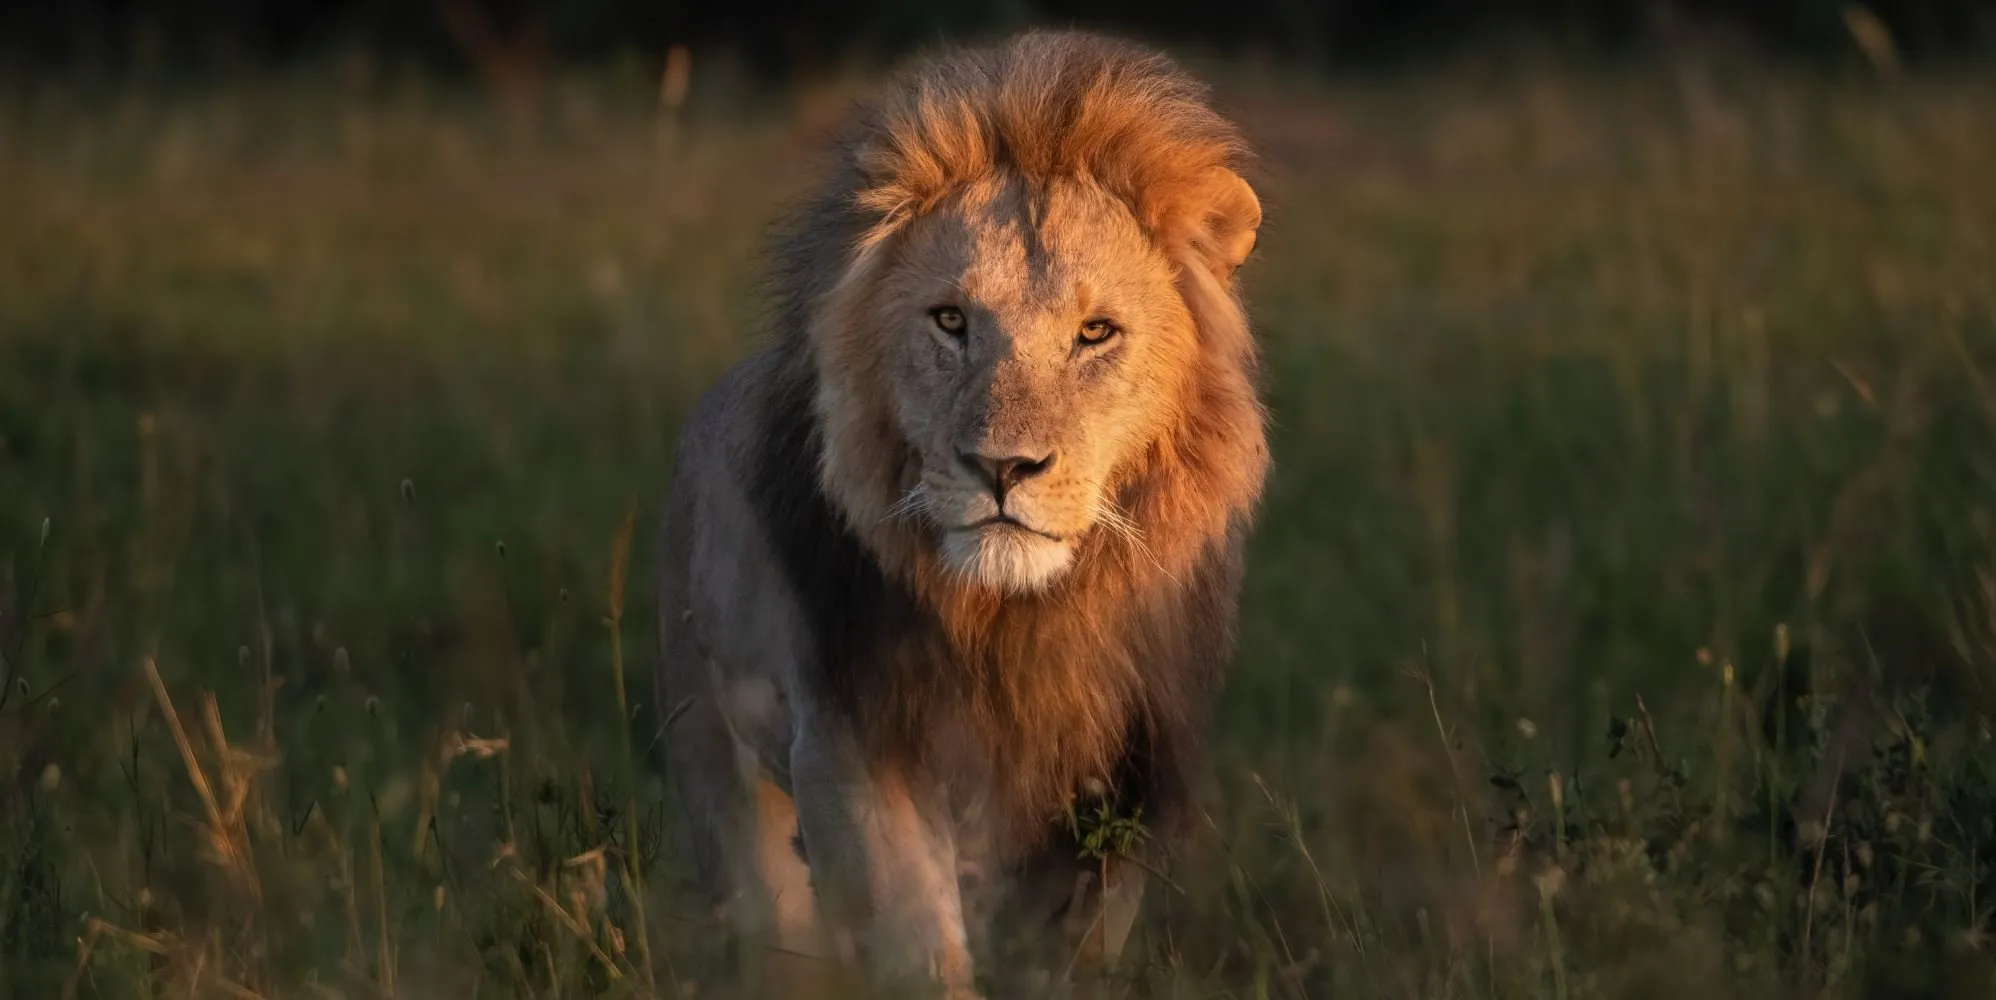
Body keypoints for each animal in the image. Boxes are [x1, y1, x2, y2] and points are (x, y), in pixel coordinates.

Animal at [655, 30, 1267, 998]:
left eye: (1096, 332)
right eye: (950, 321)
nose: (1003, 467)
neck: (1018, 621)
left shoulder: (1124, 781)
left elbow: (1068, 958)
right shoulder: (857, 746)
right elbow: (918, 949)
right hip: (717, 760)